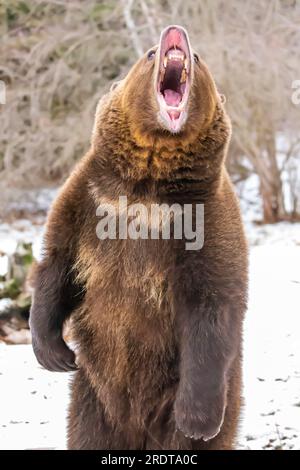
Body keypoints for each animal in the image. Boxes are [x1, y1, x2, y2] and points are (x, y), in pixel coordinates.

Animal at [29, 26, 248, 452]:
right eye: (149, 54)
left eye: (199, 58)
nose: (175, 32)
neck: (145, 187)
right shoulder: (87, 201)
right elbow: (58, 264)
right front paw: (54, 353)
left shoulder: (204, 220)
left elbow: (213, 304)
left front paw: (197, 418)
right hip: (92, 398)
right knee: (88, 435)